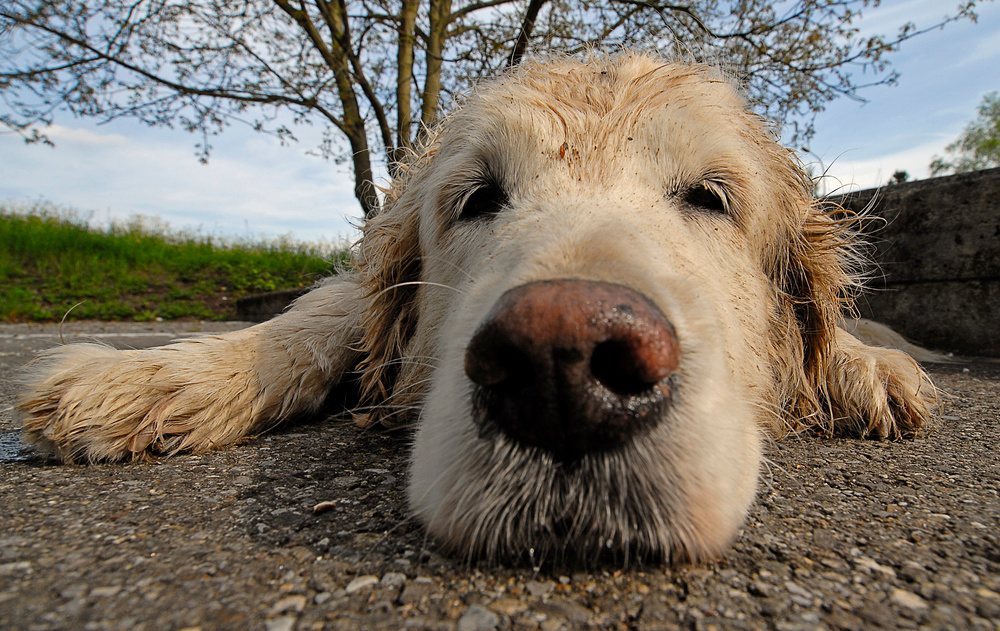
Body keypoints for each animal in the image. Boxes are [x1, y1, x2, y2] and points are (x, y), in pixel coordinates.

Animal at [17, 54, 936, 568]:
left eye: (710, 197)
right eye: (479, 198)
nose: (562, 364)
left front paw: (861, 364)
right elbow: (318, 317)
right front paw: (153, 376)